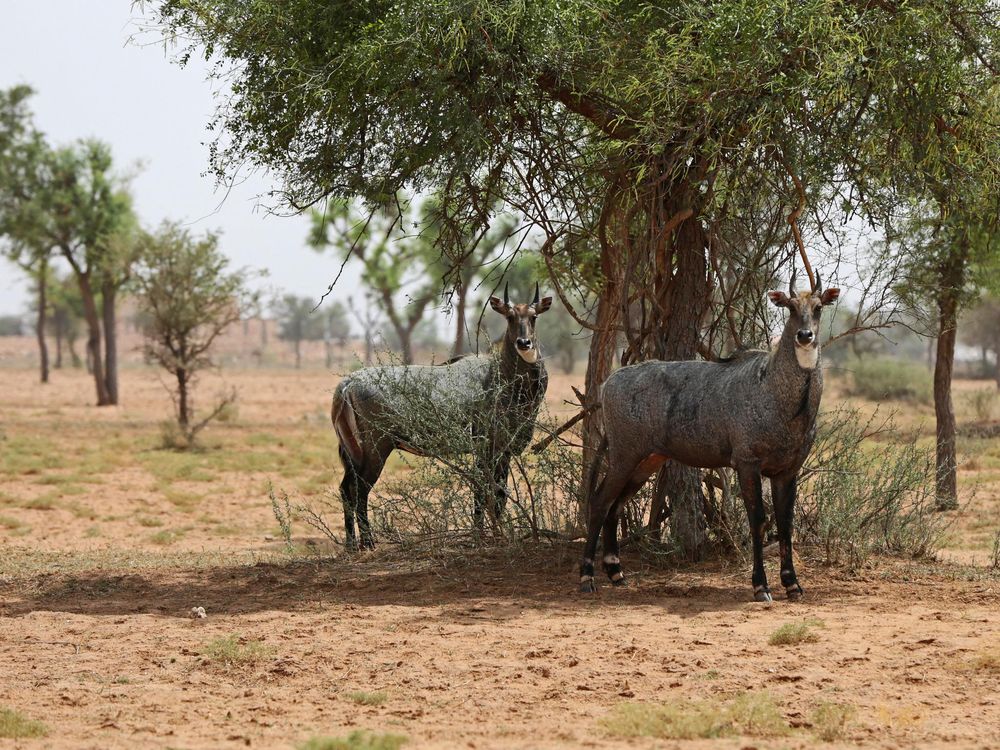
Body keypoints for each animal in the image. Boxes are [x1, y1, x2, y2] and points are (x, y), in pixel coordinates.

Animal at [332, 284, 552, 548]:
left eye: (534, 316)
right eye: (509, 317)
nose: (524, 342)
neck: (502, 376)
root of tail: (348, 383)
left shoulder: (504, 451)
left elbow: (499, 495)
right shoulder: (488, 448)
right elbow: (484, 494)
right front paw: (481, 537)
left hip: (353, 452)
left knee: (346, 489)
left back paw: (351, 546)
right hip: (376, 448)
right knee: (360, 490)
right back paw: (368, 543)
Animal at [584, 274, 840, 604]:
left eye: (818, 307)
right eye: (791, 307)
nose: (805, 336)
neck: (777, 392)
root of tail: (609, 383)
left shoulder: (787, 471)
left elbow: (785, 524)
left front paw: (792, 584)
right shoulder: (747, 463)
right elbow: (758, 520)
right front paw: (761, 586)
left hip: (646, 461)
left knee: (615, 505)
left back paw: (616, 572)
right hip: (623, 455)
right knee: (600, 501)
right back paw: (587, 577)